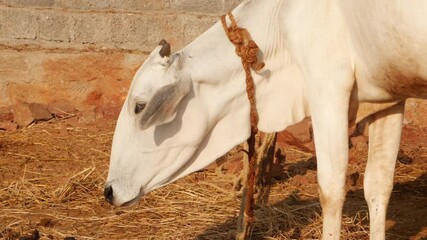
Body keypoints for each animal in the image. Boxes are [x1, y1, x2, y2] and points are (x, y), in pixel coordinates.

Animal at [104, 0, 427, 239]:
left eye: (140, 106)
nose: (109, 192)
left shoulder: (329, 92)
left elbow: (332, 191)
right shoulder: (388, 100)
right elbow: (379, 186)